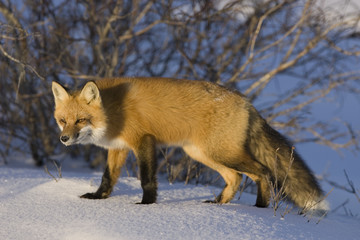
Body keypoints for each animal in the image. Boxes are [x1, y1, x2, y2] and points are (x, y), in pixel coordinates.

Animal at [51, 77, 330, 214]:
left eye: (81, 120)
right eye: (63, 121)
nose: (64, 139)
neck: (112, 111)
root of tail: (247, 103)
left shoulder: (143, 140)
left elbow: (147, 179)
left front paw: (146, 205)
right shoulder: (118, 148)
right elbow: (108, 178)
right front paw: (98, 198)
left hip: (220, 153)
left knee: (263, 172)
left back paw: (260, 208)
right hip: (202, 153)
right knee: (236, 178)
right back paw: (219, 204)